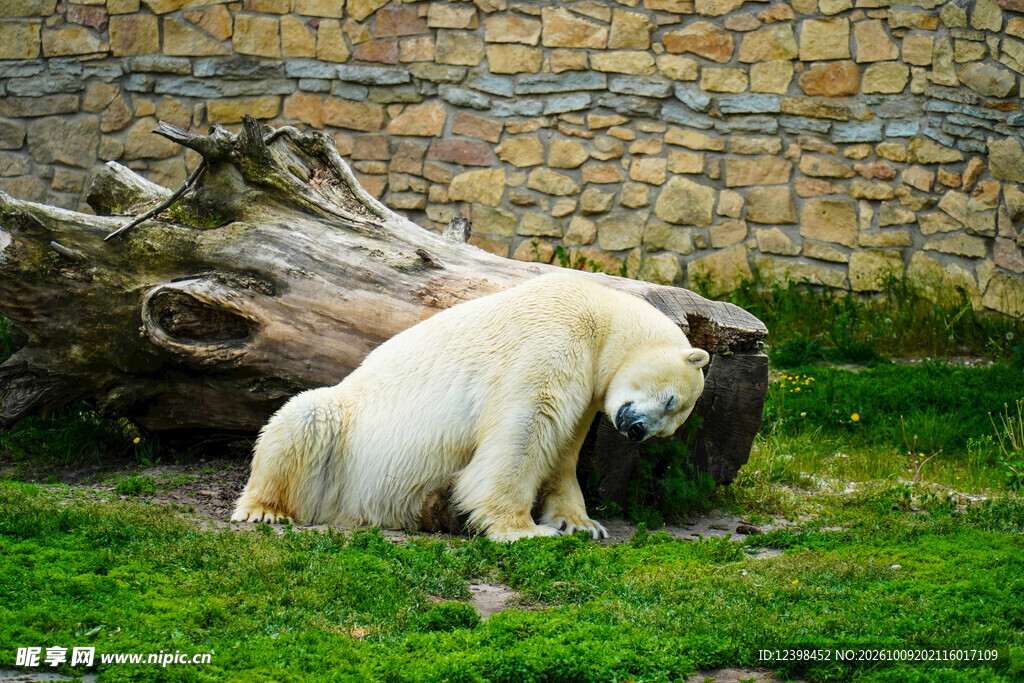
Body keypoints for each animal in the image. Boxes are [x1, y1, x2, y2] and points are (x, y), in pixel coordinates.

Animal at [231, 272, 710, 542]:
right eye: (670, 400)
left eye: (668, 427)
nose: (636, 429)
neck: (599, 311)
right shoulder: (554, 338)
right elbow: (526, 427)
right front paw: (525, 531)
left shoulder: (589, 393)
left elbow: (563, 451)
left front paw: (580, 523)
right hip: (344, 435)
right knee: (303, 417)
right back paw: (264, 510)